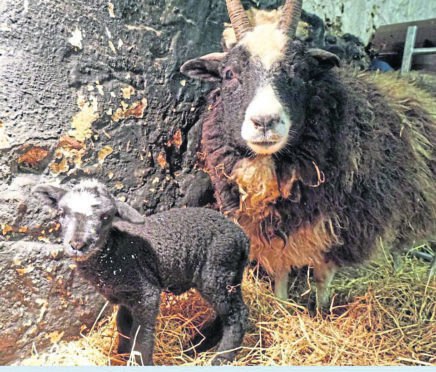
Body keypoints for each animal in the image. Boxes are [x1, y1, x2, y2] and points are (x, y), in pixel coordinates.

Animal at [179, 0, 434, 308]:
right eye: (229, 74)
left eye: (300, 72)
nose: (265, 122)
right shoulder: (273, 226)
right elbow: (280, 271)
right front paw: (281, 305)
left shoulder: (339, 225)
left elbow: (323, 276)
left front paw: (322, 309)